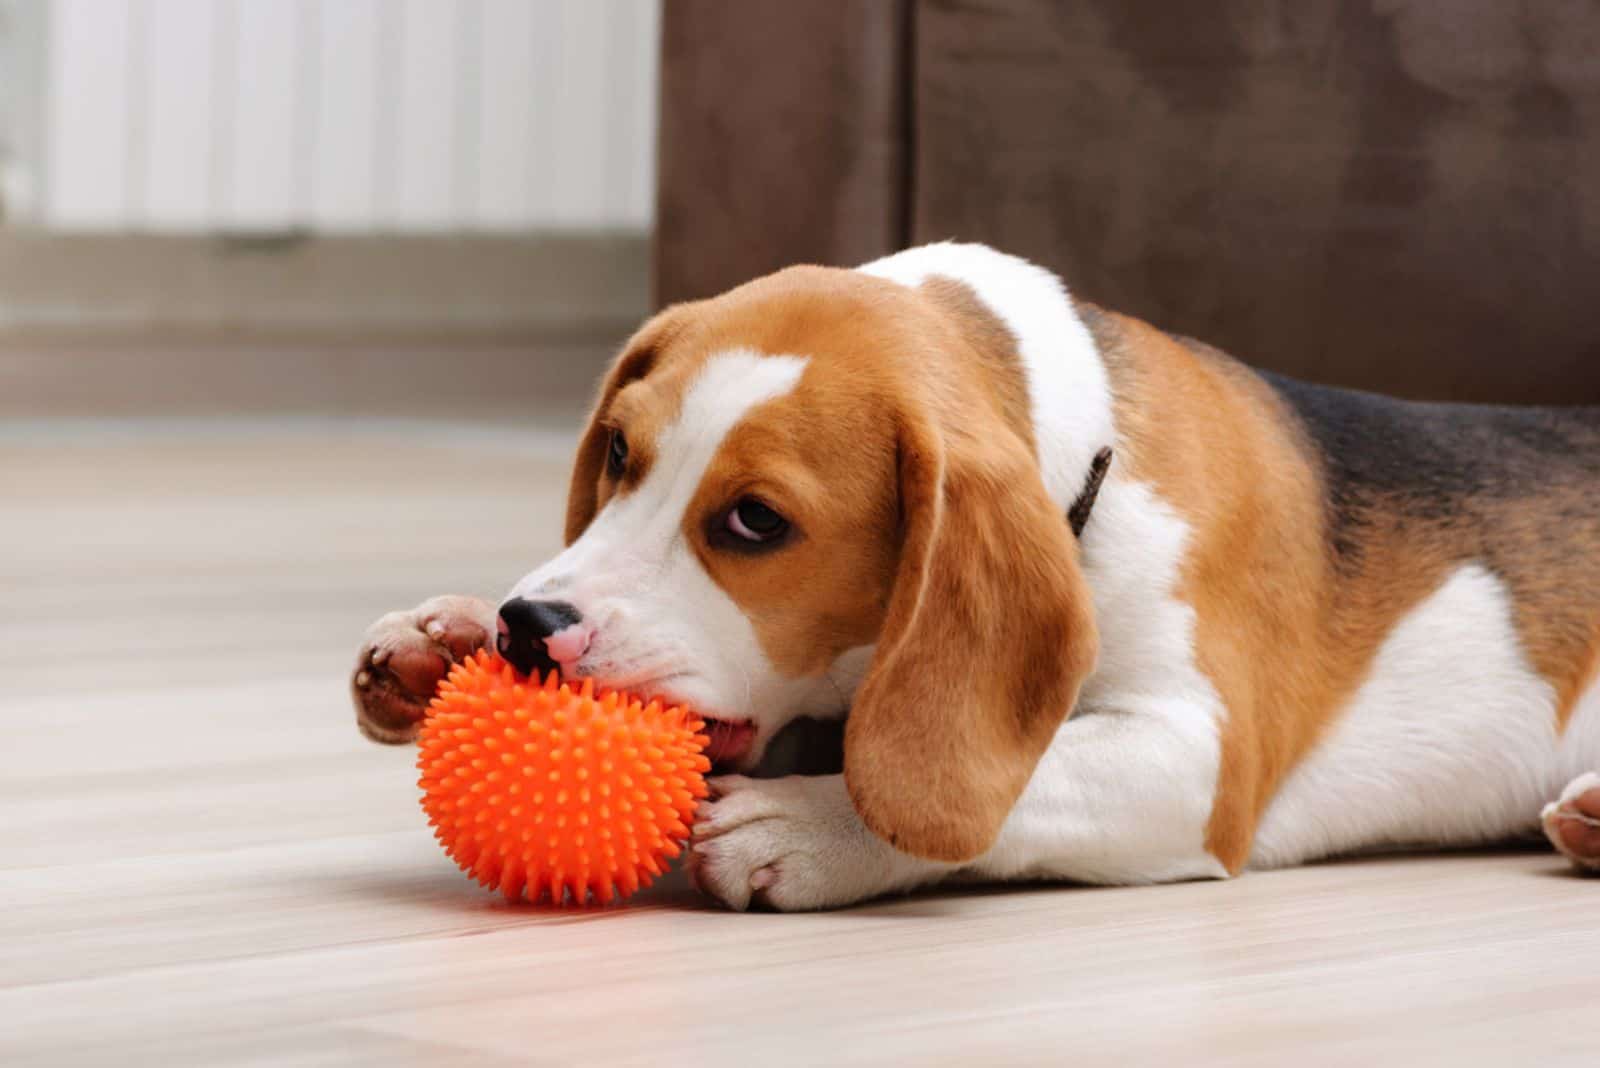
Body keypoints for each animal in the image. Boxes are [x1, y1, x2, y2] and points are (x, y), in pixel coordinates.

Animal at [353, 238, 1600, 908]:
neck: (1091, 451)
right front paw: (439, 637)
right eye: (617, 451)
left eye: (755, 522)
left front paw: (810, 829)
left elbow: (1008, 780)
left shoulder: (1201, 760)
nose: (529, 624)